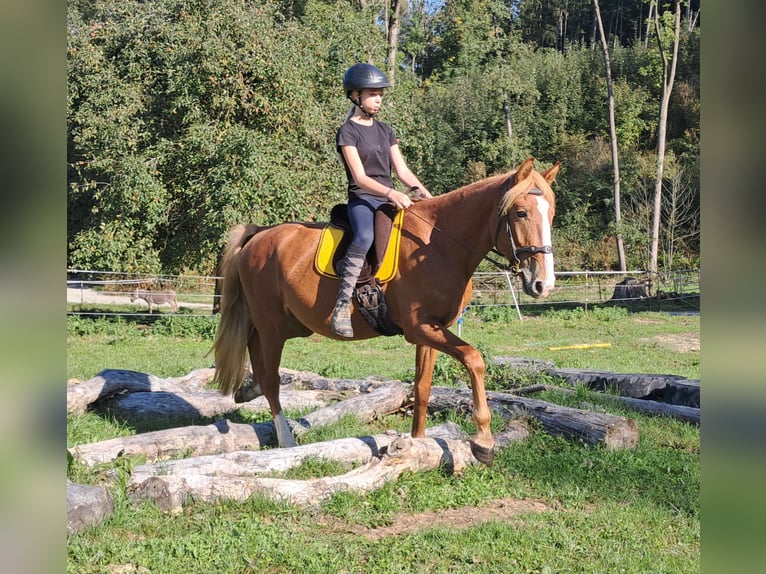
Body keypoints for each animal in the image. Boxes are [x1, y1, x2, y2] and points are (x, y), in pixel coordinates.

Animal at [212, 159, 560, 468]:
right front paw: (483, 442)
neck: (439, 246)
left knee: (255, 352)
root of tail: (259, 235)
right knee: (271, 378)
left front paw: (417, 445)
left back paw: (248, 389)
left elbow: (422, 388)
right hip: (272, 323)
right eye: (520, 212)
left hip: (290, 323)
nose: (543, 284)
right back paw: (286, 439)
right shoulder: (420, 327)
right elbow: (474, 359)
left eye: (551, 214)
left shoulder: (432, 330)